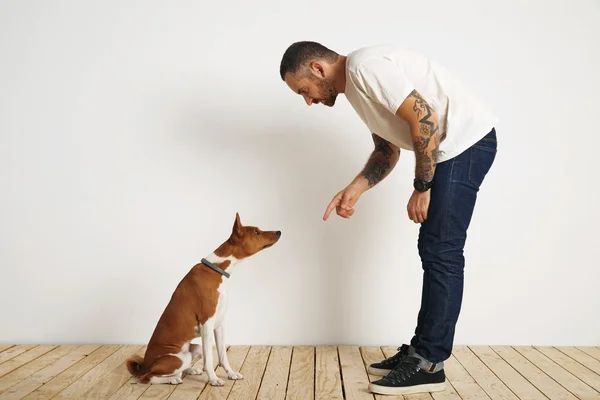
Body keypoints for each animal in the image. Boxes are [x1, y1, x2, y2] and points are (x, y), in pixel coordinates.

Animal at [123, 212, 282, 384]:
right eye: (257, 232)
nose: (279, 231)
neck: (217, 269)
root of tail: (145, 364)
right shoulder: (207, 323)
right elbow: (210, 359)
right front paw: (214, 379)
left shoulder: (220, 323)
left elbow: (222, 355)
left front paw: (231, 373)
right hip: (179, 359)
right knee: (149, 377)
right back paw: (173, 379)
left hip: (194, 349)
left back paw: (190, 370)